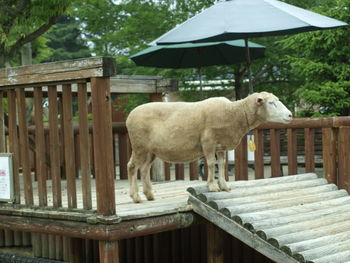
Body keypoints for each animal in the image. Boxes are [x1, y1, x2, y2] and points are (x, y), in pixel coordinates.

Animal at [126, 92, 292, 203]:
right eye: (271, 103)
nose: (290, 115)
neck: (234, 112)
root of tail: (130, 115)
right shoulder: (208, 142)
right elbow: (211, 164)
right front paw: (212, 186)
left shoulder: (221, 146)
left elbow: (222, 165)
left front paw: (224, 185)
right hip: (139, 145)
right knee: (132, 167)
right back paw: (136, 197)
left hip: (150, 150)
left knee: (144, 168)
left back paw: (149, 195)